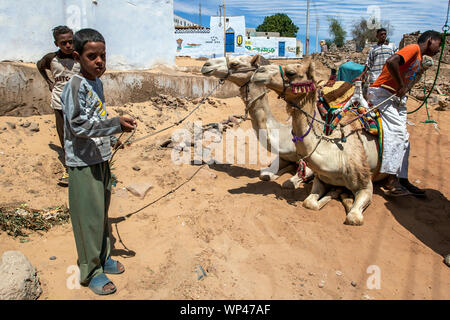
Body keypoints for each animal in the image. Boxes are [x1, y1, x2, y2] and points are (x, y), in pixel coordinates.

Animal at [200, 54, 312, 188]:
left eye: (235, 64)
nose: (206, 65)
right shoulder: (283, 156)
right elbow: (264, 174)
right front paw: (273, 173)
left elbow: (291, 182)